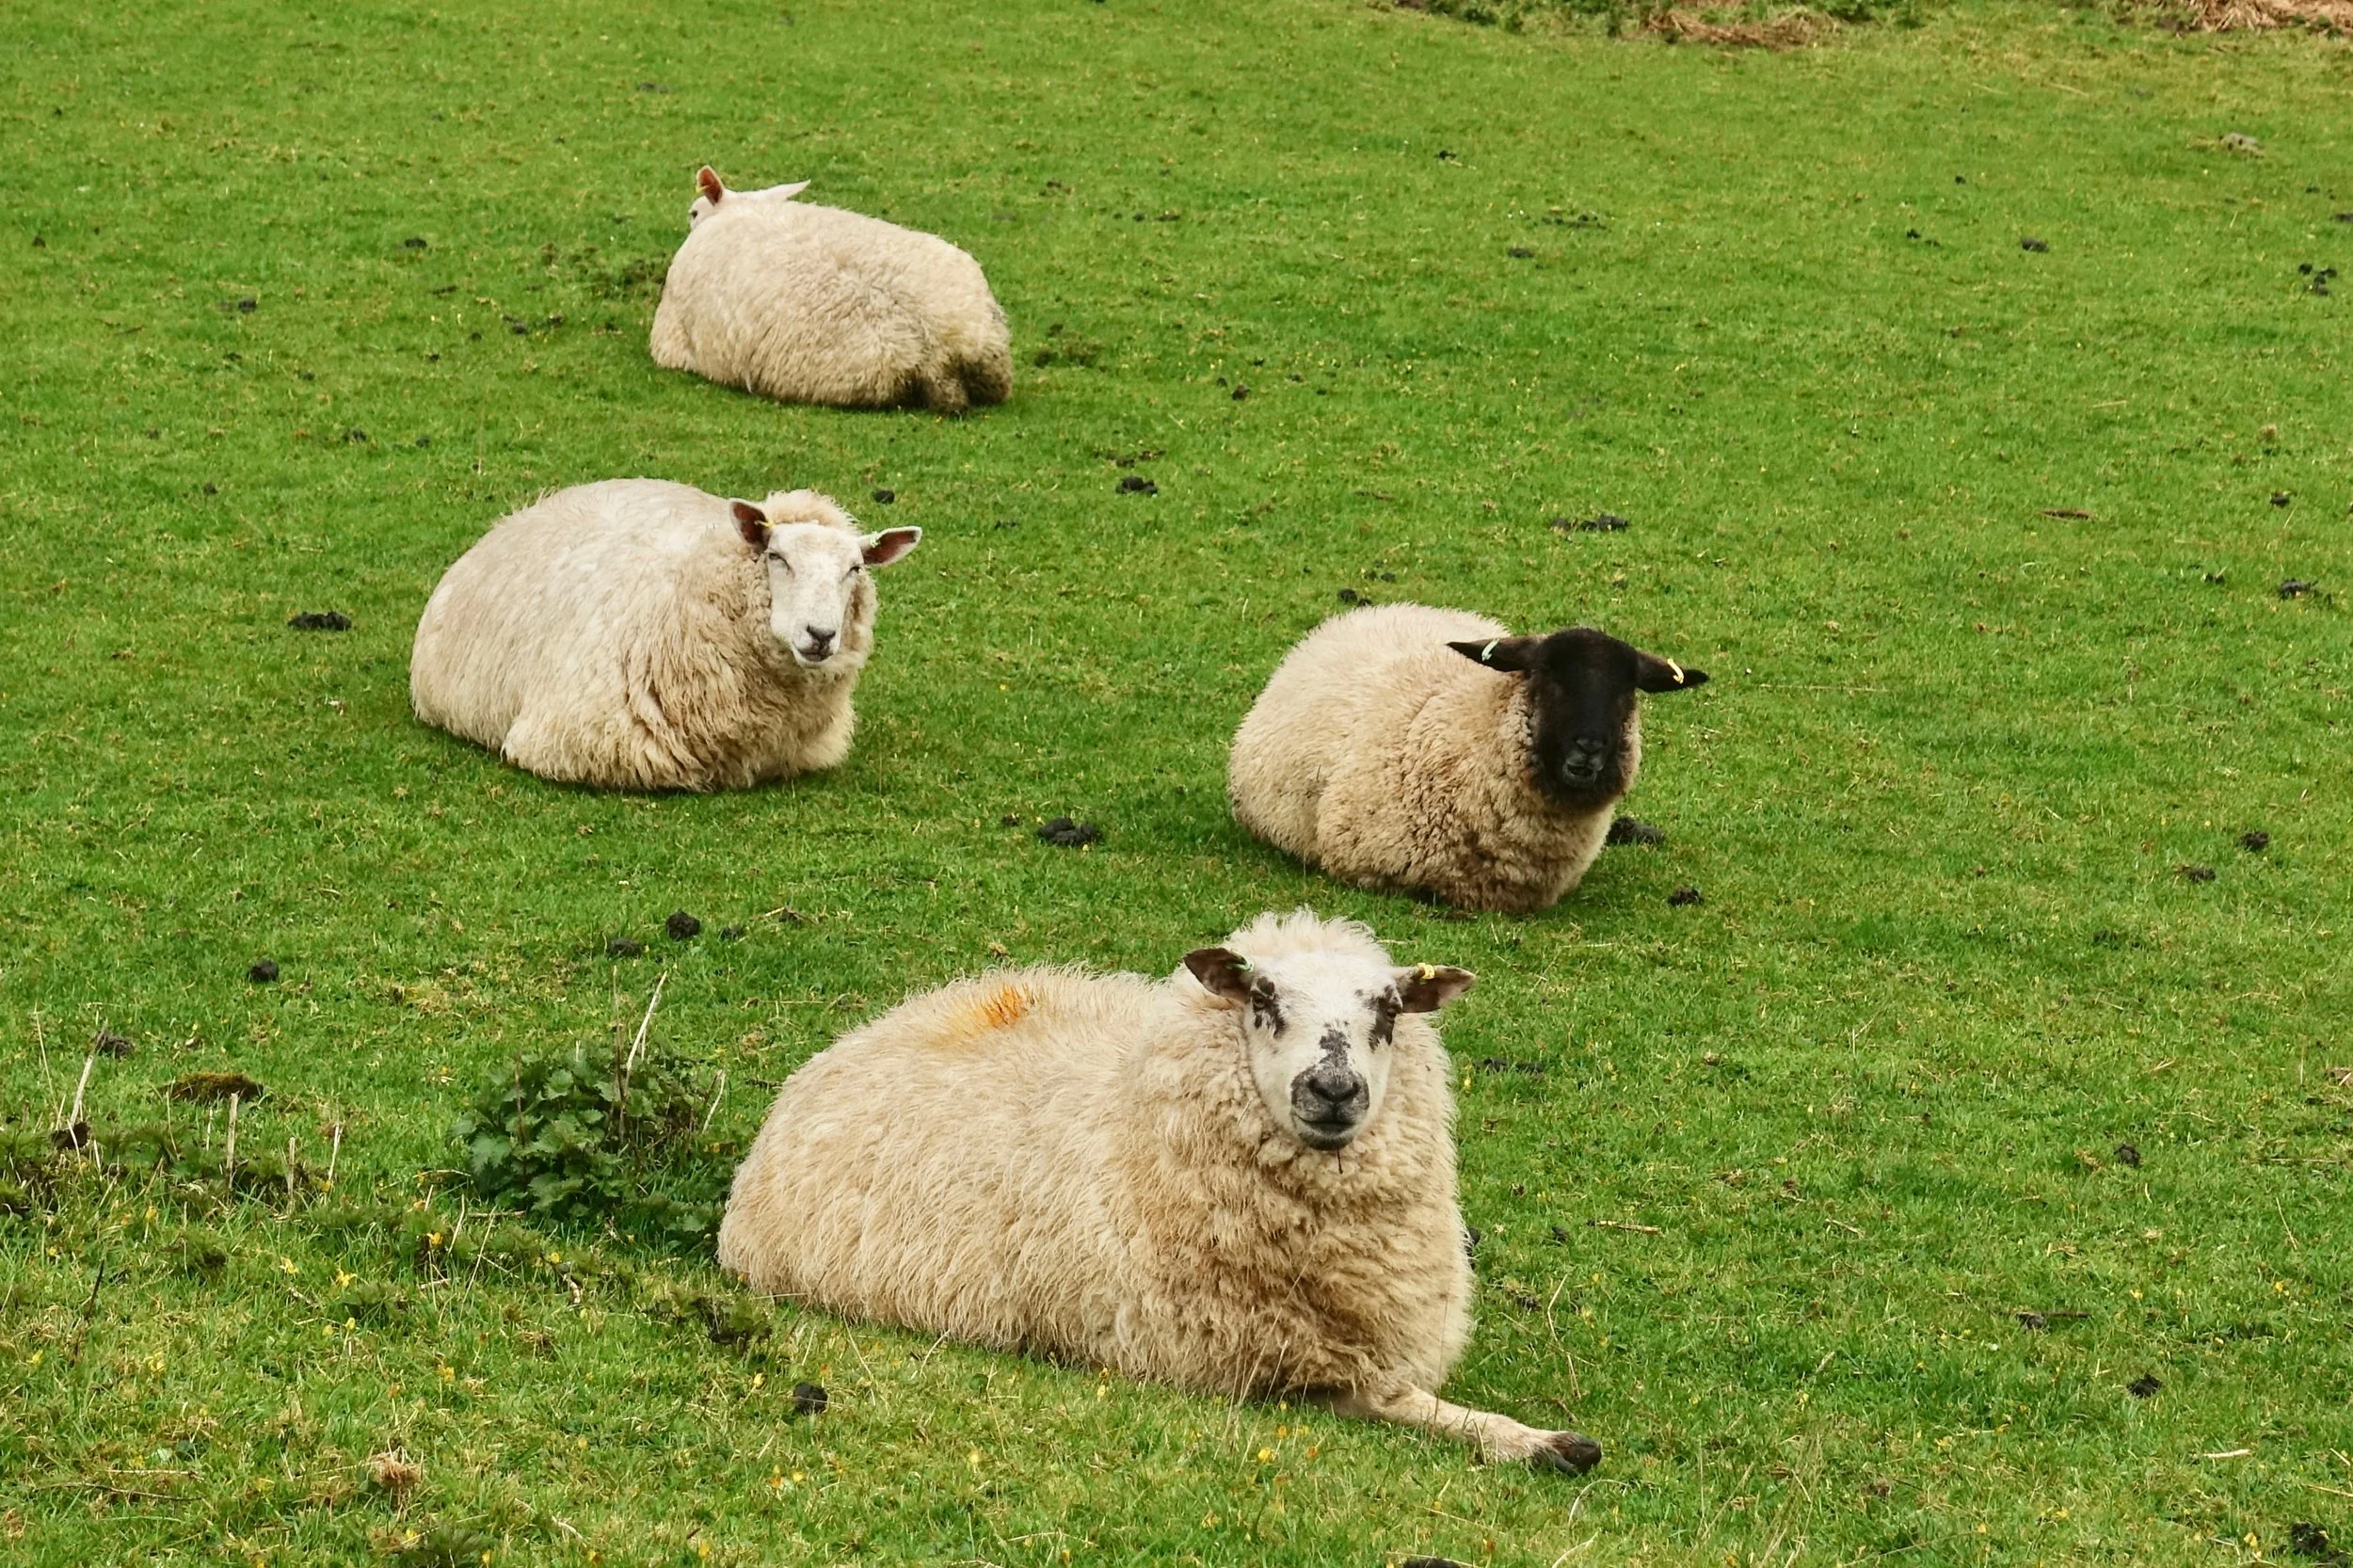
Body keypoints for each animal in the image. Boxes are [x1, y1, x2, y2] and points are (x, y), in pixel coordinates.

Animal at [719, 909, 1603, 1475]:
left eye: (1388, 1009)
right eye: (1262, 999)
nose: (1333, 1090)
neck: (1134, 1128)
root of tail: (858, 1035)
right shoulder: (1262, 1365)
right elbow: (1395, 1398)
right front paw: (1540, 1441)